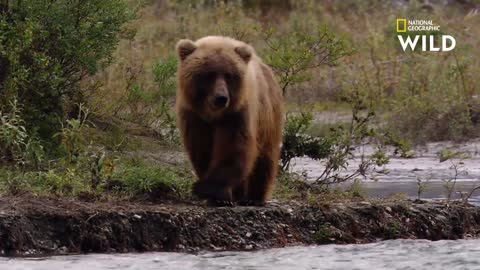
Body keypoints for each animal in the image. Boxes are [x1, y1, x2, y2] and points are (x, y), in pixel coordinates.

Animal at [174, 34, 284, 206]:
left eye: (229, 75)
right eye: (209, 74)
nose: (221, 98)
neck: (213, 114)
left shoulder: (236, 113)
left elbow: (233, 149)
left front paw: (208, 189)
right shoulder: (195, 116)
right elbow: (202, 148)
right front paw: (217, 195)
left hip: (268, 115)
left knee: (265, 159)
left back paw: (254, 197)